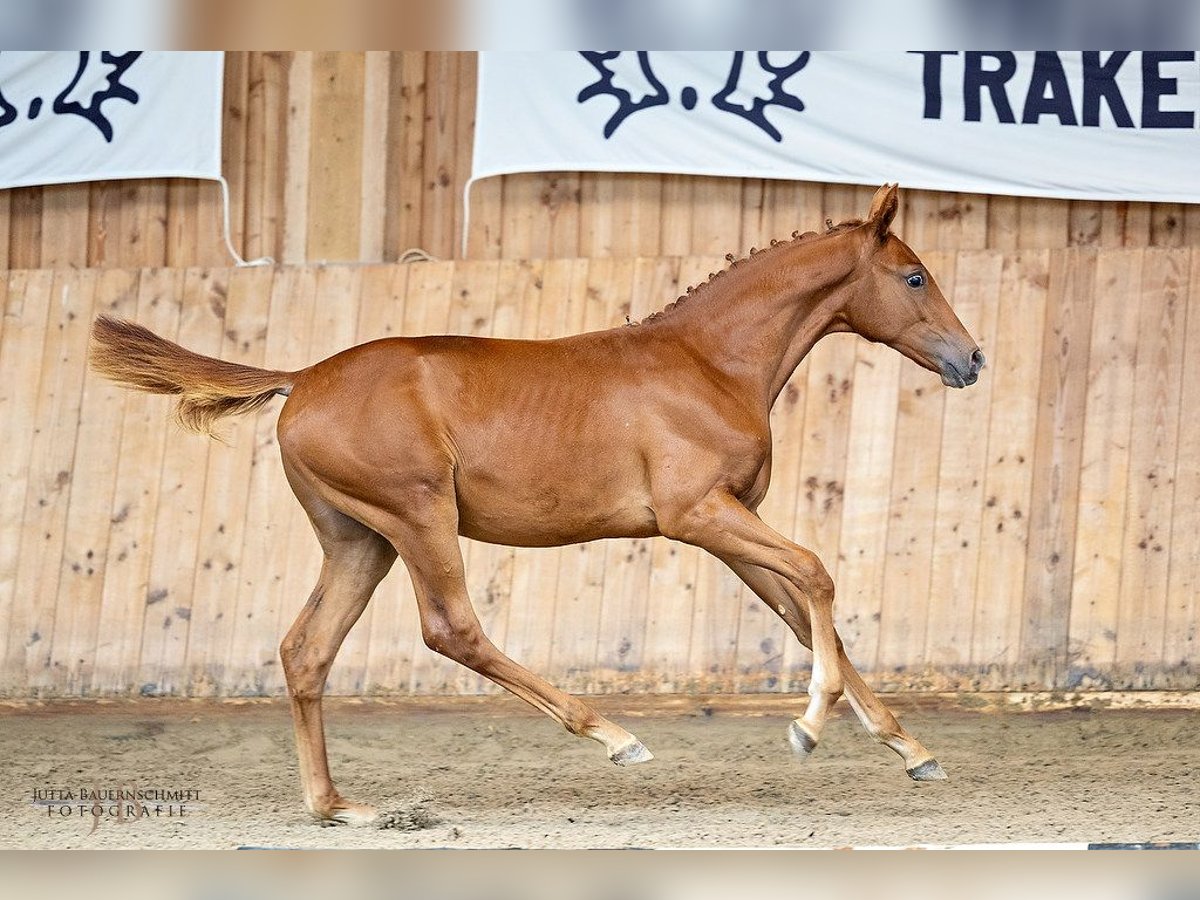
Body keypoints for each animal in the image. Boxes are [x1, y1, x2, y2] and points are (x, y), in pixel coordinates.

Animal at [91, 187, 984, 830]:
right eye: (914, 276)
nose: (972, 359)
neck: (707, 361)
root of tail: (301, 378)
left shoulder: (729, 525)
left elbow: (802, 614)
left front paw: (910, 747)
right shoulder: (697, 515)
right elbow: (818, 574)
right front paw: (810, 727)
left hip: (359, 539)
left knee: (306, 651)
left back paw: (337, 807)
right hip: (417, 517)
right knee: (450, 629)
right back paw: (615, 738)